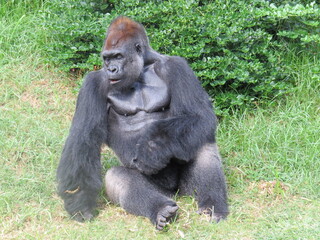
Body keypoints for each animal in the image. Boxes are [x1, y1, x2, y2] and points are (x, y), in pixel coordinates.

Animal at [57, 15, 228, 230]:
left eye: (118, 56)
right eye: (107, 58)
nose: (111, 69)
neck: (141, 70)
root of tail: (174, 193)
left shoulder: (177, 66)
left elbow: (199, 115)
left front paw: (152, 147)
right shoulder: (93, 83)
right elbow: (84, 138)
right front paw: (80, 202)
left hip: (186, 190)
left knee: (202, 142)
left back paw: (212, 206)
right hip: (162, 192)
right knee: (117, 177)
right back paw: (160, 209)